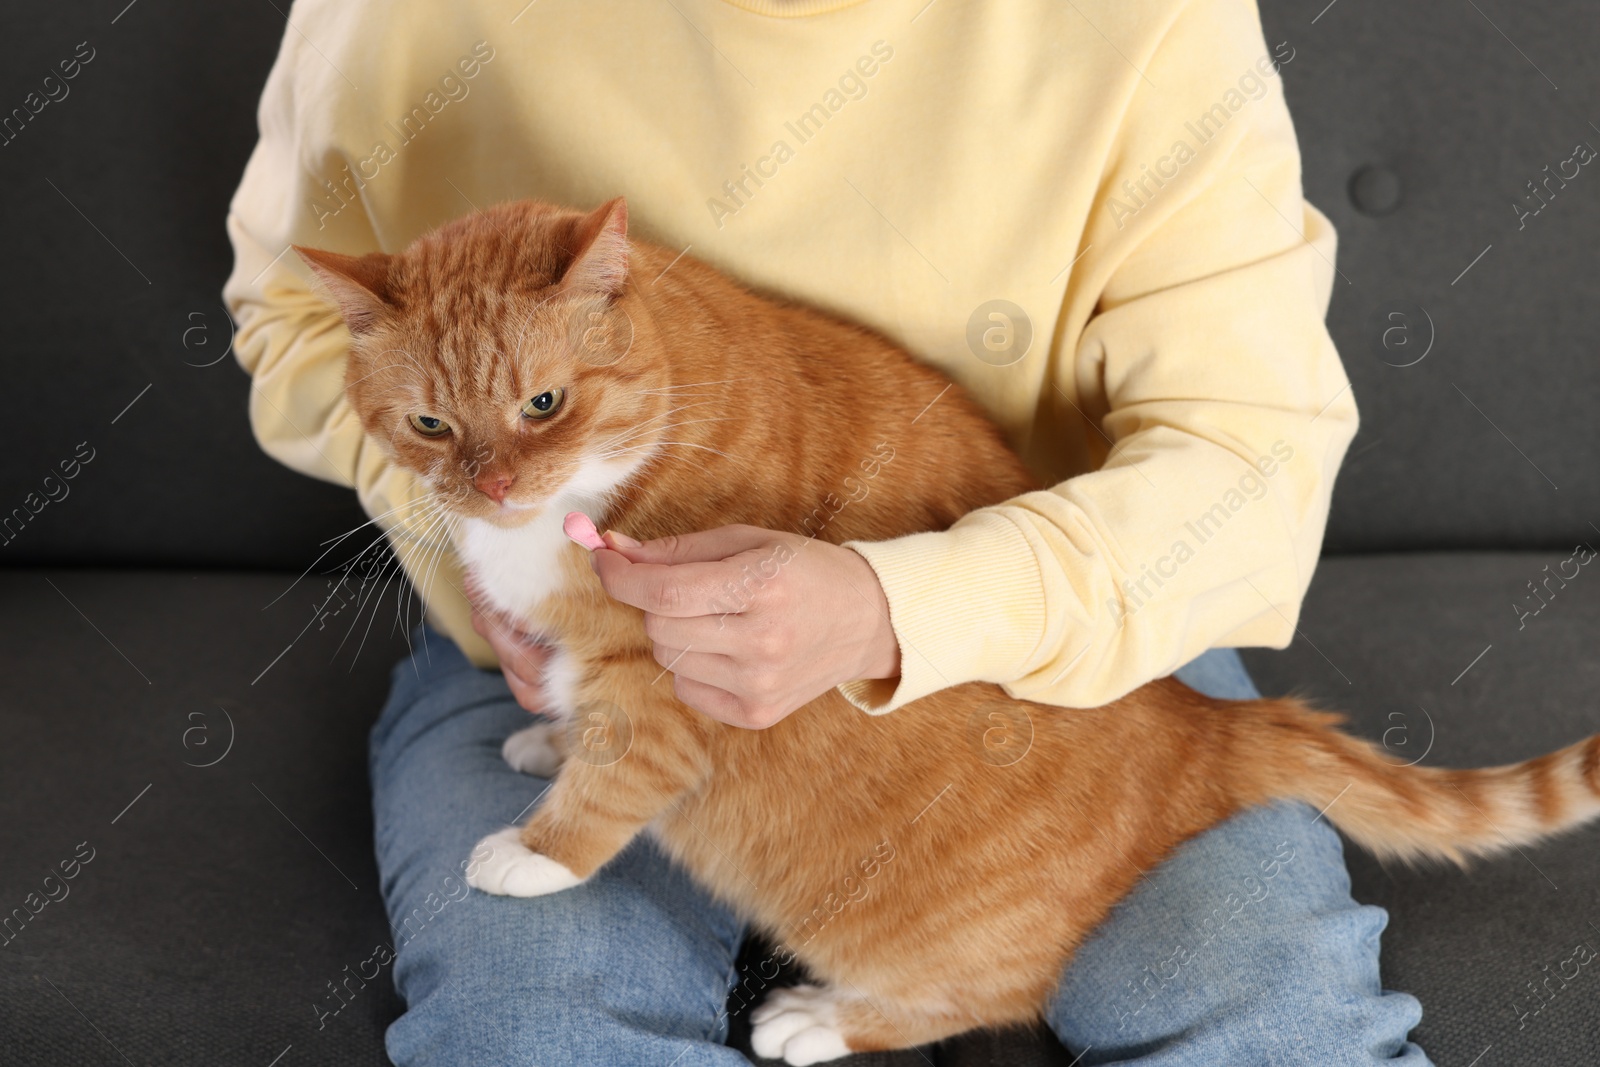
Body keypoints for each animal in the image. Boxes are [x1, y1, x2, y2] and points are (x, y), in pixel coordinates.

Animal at [297, 198, 1600, 1062]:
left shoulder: (672, 683)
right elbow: (577, 720)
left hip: (929, 943)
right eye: (425, 424)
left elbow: (618, 770)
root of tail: (1203, 724)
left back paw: (822, 1018)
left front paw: (538, 845)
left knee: (986, 991)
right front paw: (543, 734)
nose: (491, 488)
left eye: (544, 404)